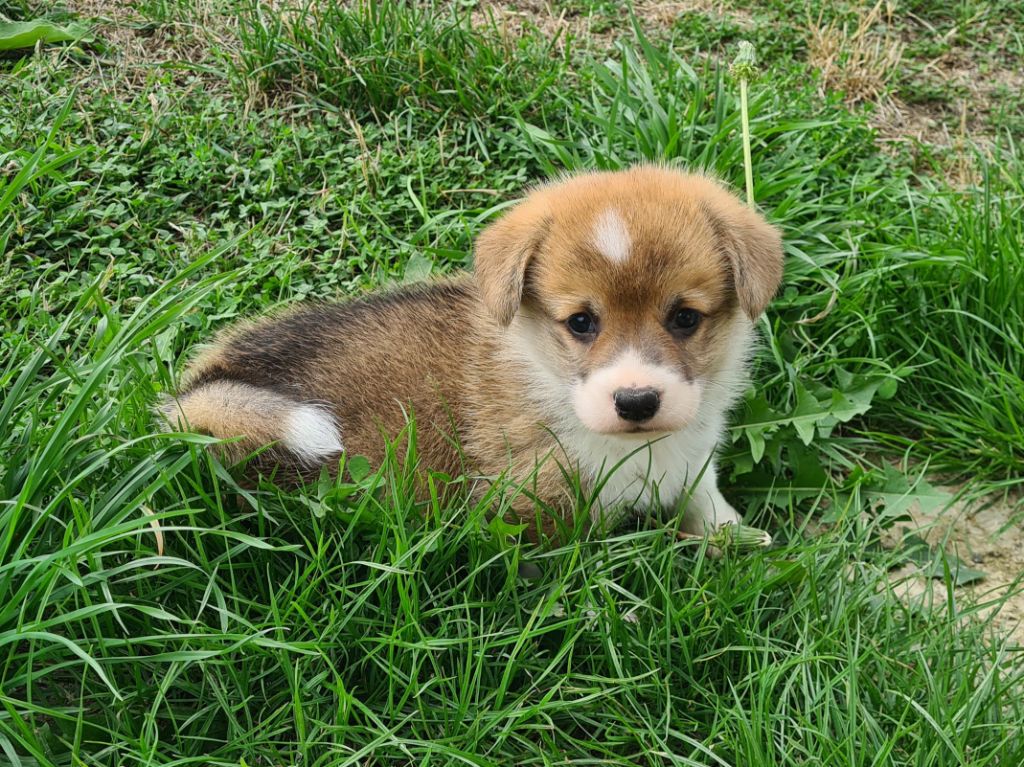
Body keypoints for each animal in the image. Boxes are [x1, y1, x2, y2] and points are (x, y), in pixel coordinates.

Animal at [161, 167, 782, 536]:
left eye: (685, 318)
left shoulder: (694, 454)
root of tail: (202, 386)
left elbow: (705, 497)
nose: (636, 401)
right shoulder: (535, 506)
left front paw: (740, 541)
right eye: (581, 322)